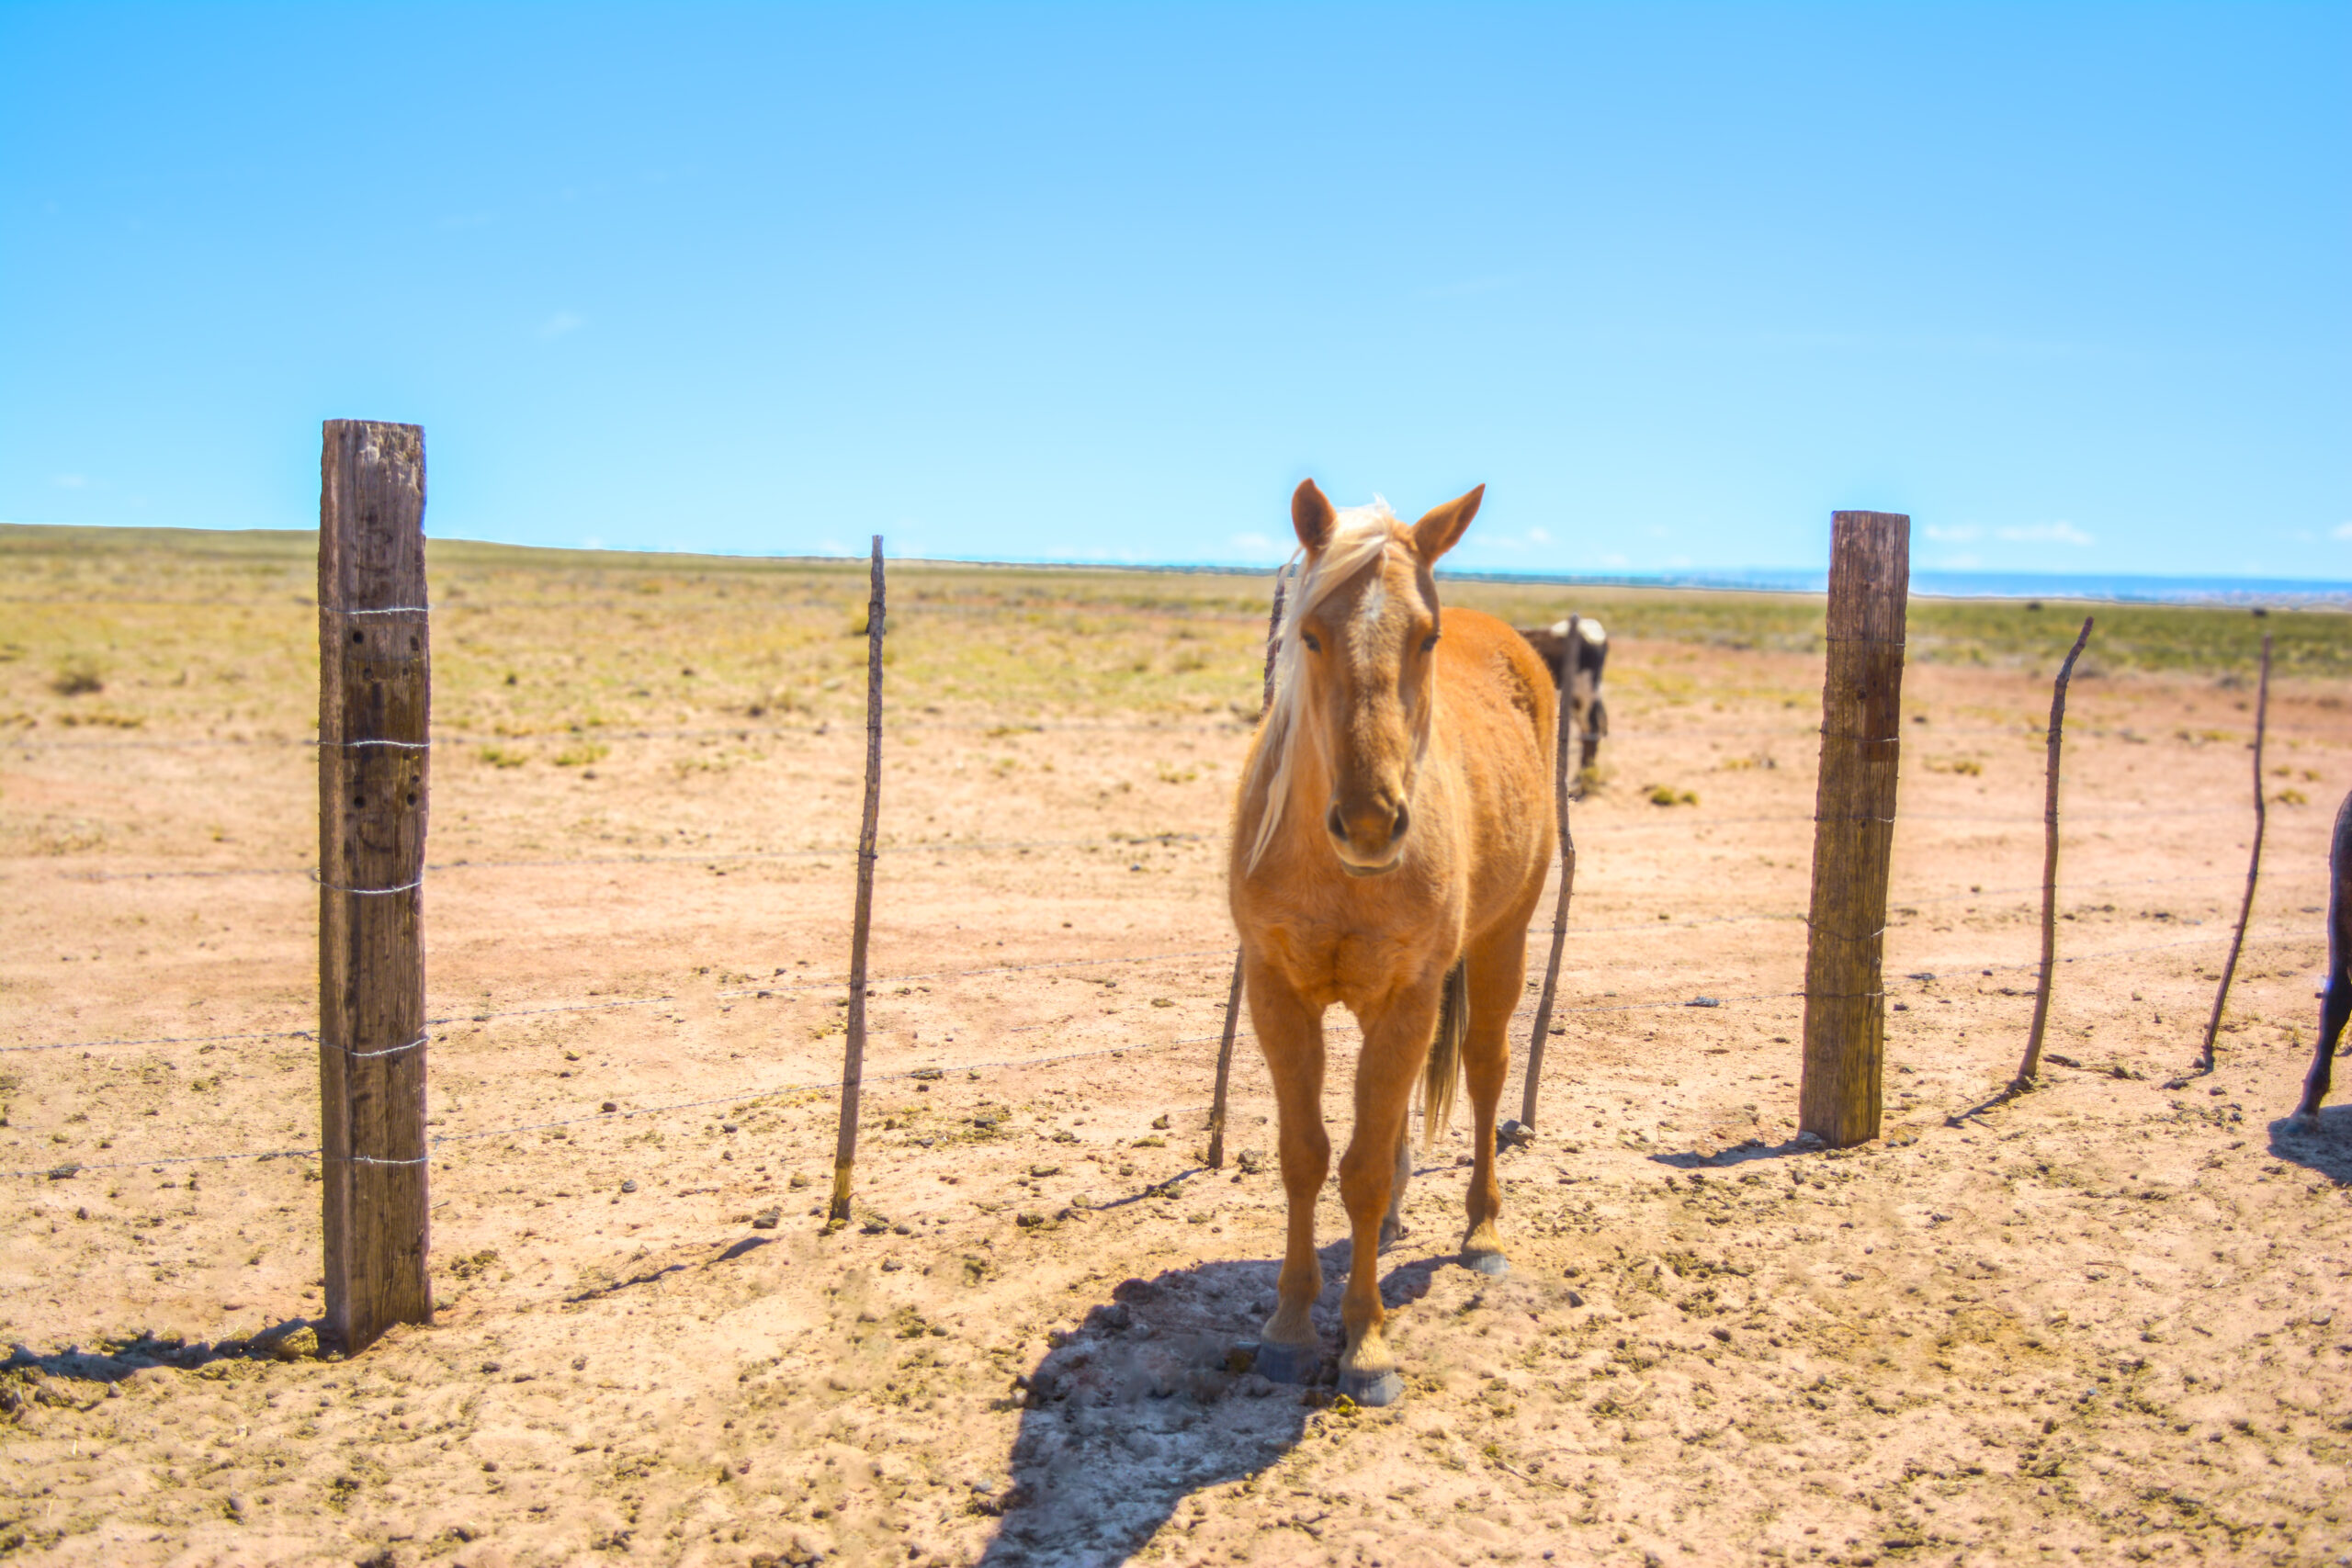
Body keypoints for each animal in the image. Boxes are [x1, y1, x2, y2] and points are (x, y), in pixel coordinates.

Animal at [1227, 479, 1556, 1407]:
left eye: (1426, 636)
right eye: (1309, 632)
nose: (1372, 822)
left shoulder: (1407, 996)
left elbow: (1364, 1169)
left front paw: (1366, 1343)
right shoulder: (1277, 993)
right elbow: (1306, 1156)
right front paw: (1289, 1325)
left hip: (1503, 943)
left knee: (1485, 1074)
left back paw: (1483, 1232)